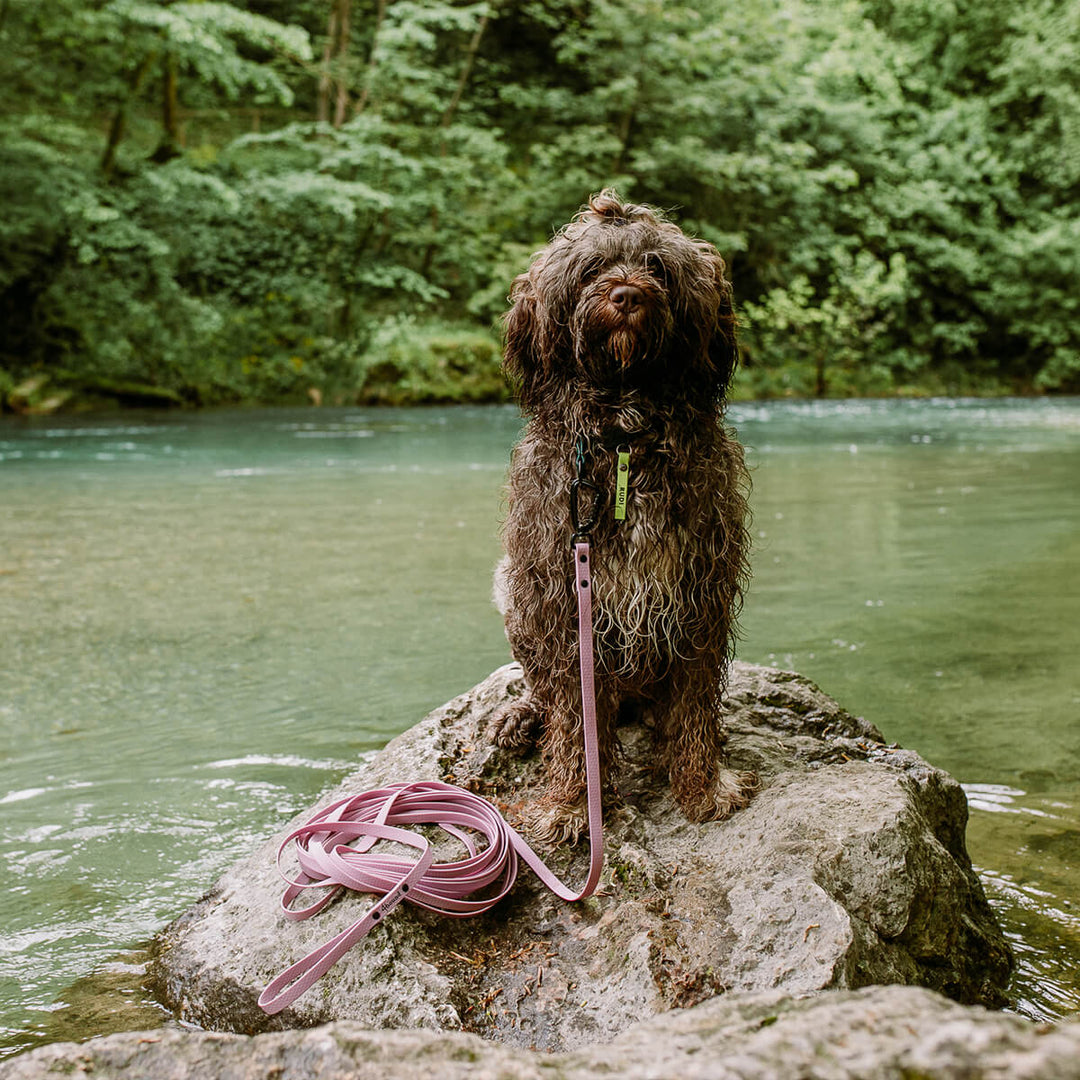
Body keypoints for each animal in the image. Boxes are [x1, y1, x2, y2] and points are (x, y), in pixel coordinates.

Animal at [494, 190, 756, 838]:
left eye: (657, 265)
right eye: (591, 268)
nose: (628, 295)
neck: (623, 439)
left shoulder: (698, 593)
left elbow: (693, 703)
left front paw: (702, 786)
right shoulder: (560, 599)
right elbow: (573, 715)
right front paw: (573, 802)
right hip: (513, 596)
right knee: (543, 692)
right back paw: (521, 716)